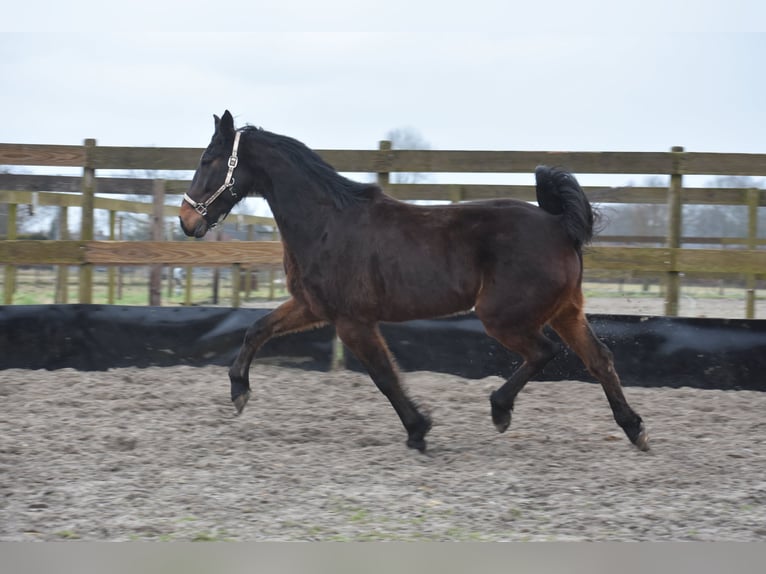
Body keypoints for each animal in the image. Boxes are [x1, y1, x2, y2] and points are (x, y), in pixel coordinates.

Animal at [178, 110, 648, 454]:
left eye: (207, 161)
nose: (186, 222)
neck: (327, 223)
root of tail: (559, 226)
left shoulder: (352, 321)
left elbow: (385, 375)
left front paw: (419, 430)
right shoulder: (312, 306)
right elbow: (256, 330)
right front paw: (239, 391)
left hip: (503, 317)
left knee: (544, 352)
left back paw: (500, 411)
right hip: (565, 311)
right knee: (599, 359)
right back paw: (635, 430)